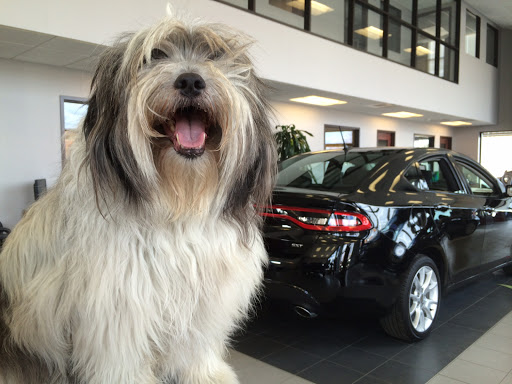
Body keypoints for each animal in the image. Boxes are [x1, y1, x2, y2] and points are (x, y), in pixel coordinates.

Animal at [0, 13, 276, 382]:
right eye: (154, 56)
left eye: (214, 56)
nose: (191, 81)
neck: (179, 205)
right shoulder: (117, 310)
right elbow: (121, 362)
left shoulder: (204, 301)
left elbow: (196, 348)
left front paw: (206, 374)